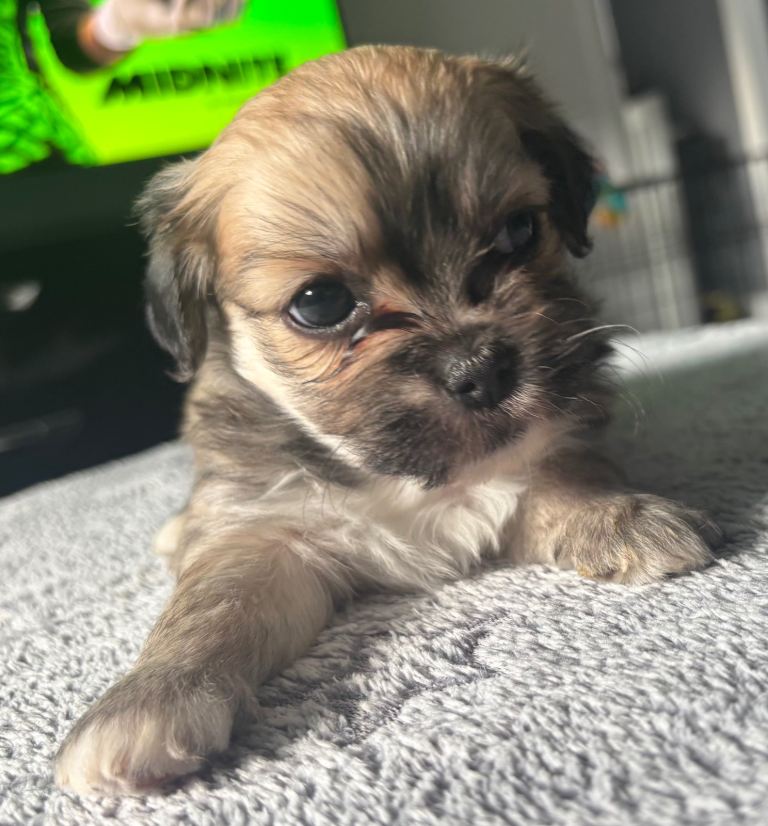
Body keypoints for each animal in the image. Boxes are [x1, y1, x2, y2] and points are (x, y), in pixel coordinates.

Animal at [55, 45, 721, 795]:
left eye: (519, 232)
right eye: (319, 303)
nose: (481, 366)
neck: (409, 478)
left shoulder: (556, 434)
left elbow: (566, 474)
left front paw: (621, 518)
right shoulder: (267, 538)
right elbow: (213, 606)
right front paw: (144, 704)